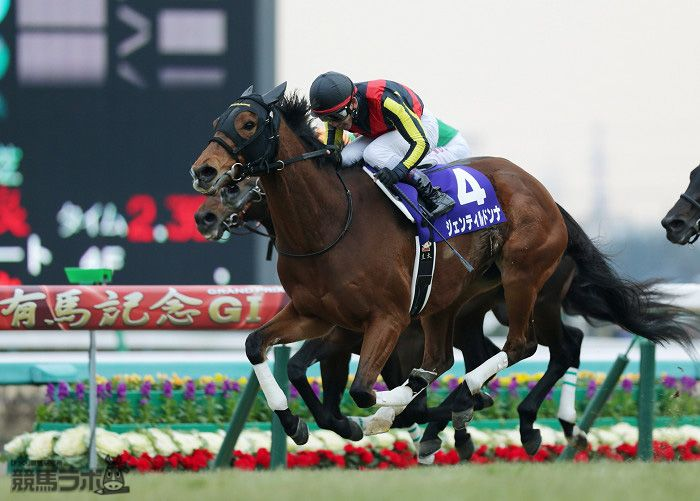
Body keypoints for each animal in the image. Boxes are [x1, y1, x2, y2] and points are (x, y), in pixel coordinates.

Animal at [189, 84, 692, 446]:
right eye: (215, 121)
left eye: (248, 122)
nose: (204, 175)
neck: (328, 223)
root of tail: (545, 193)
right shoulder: (316, 313)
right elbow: (260, 348)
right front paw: (295, 423)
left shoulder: (383, 320)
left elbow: (362, 388)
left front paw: (388, 416)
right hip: (450, 301)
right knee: (449, 358)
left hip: (524, 283)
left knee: (526, 346)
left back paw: (493, 411)